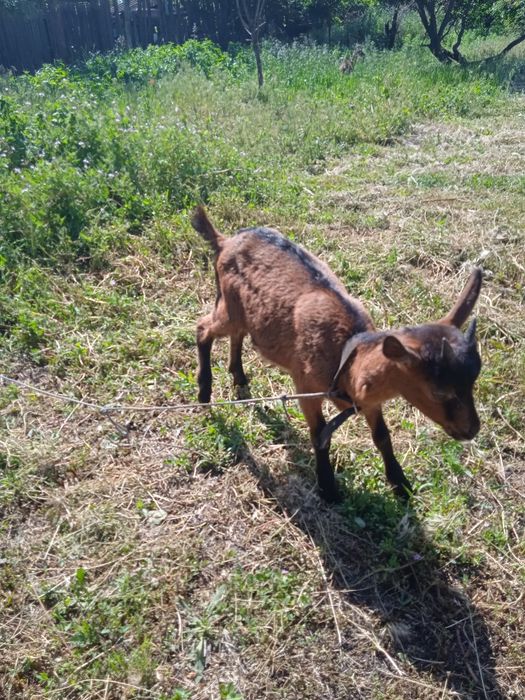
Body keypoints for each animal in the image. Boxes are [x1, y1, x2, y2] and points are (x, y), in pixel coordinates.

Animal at [192, 206, 482, 503]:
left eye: (473, 383)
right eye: (439, 391)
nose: (472, 429)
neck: (346, 358)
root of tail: (225, 241)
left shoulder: (367, 399)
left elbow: (382, 436)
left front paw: (401, 485)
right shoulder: (305, 386)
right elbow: (320, 434)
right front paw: (328, 487)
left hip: (241, 311)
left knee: (237, 335)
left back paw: (239, 378)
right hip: (229, 307)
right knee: (203, 329)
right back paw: (204, 392)